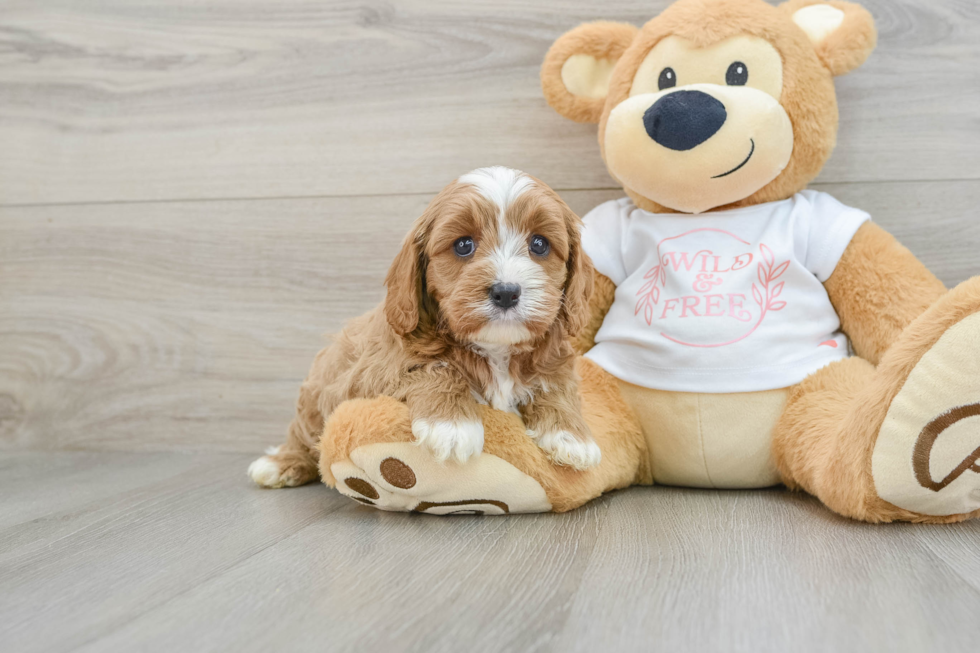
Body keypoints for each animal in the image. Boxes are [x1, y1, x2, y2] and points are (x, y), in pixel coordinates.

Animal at [247, 166, 596, 486]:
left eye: (539, 244)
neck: (496, 347)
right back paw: (278, 464)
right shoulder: (378, 370)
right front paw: (452, 426)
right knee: (303, 436)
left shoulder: (555, 358)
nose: (506, 292)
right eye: (463, 245)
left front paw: (571, 436)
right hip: (316, 396)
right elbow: (434, 367)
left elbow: (556, 383)